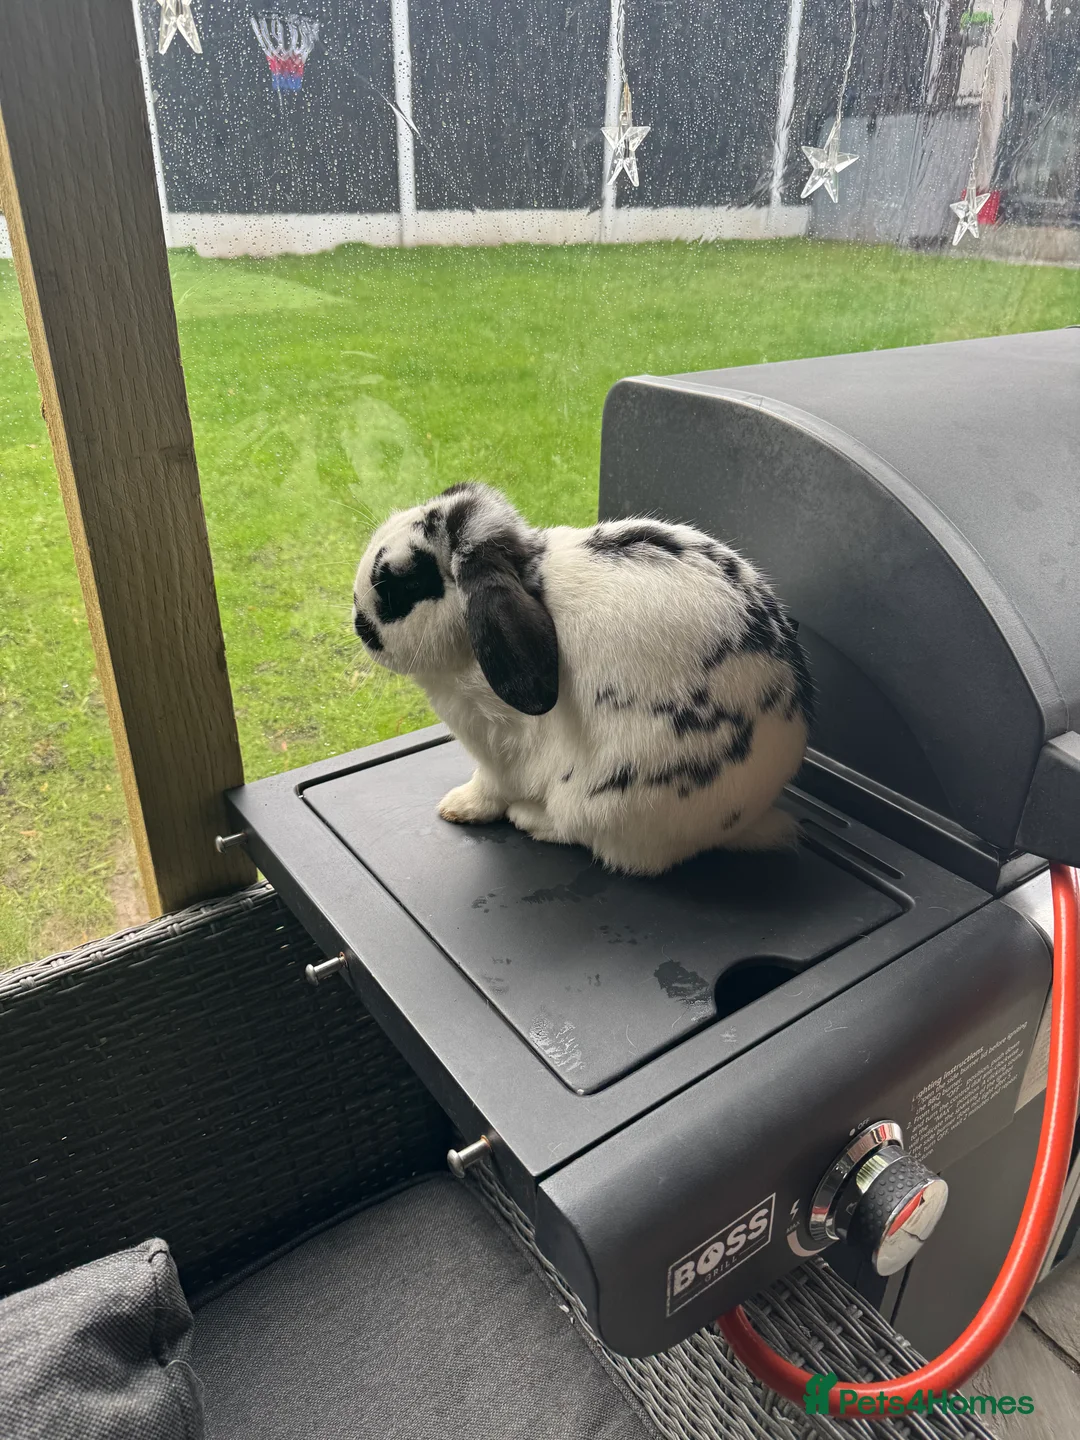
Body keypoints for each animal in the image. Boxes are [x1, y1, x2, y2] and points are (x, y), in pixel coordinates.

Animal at [351, 482, 814, 876]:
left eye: (406, 582)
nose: (359, 624)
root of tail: (746, 818)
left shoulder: (498, 753)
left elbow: (489, 789)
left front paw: (456, 807)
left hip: (603, 802)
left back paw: (529, 818)